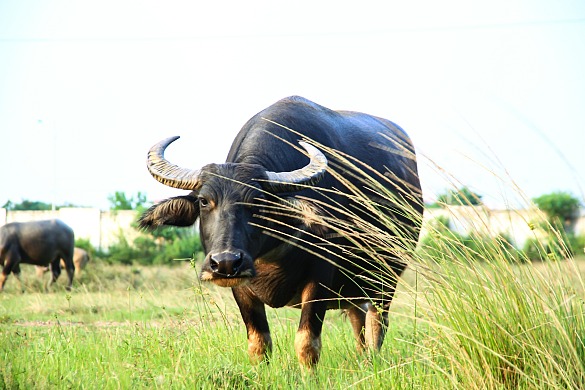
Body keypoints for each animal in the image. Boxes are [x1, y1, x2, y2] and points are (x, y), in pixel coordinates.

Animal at [138, 96, 420, 368]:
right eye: (204, 201)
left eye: (258, 201)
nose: (226, 262)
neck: (271, 252)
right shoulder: (242, 288)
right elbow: (259, 344)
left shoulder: (319, 279)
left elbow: (307, 344)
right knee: (357, 319)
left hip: (386, 276)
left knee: (377, 323)